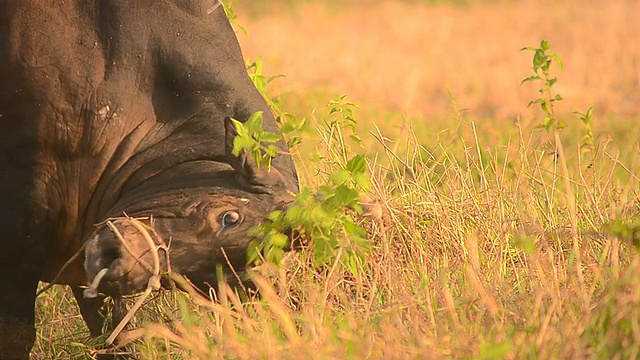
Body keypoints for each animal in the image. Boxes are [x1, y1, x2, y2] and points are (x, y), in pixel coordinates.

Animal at [0, 1, 300, 358]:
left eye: (206, 278)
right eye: (229, 217)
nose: (120, 264)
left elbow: (111, 330)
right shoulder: (25, 186)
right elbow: (15, 331)